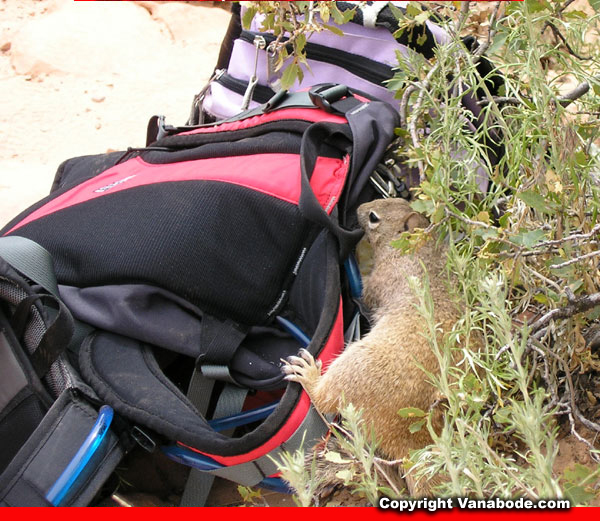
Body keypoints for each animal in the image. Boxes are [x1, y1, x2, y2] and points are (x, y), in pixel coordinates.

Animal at [284, 198, 462, 496]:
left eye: (374, 218)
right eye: (401, 200)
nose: (357, 209)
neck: (418, 248)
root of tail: (408, 441)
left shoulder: (380, 282)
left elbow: (366, 291)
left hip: (353, 365)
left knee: (324, 398)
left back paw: (308, 375)